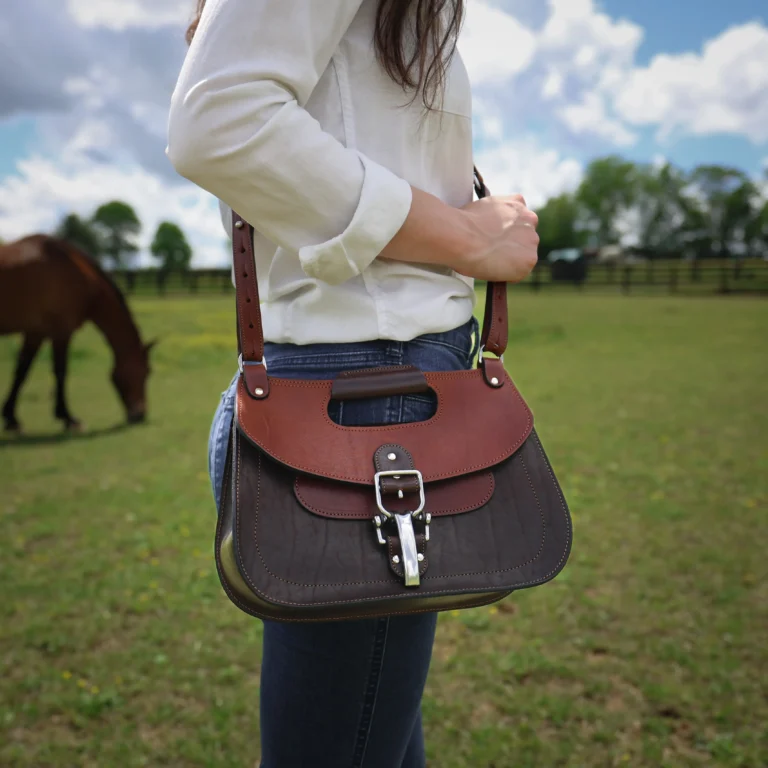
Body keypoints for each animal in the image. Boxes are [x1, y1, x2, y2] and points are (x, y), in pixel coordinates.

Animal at [0, 234, 156, 432]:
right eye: (147, 371)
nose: (140, 414)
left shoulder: (36, 332)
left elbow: (22, 371)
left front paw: (11, 418)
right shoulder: (61, 332)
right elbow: (61, 371)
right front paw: (68, 418)